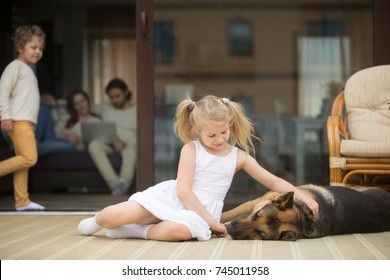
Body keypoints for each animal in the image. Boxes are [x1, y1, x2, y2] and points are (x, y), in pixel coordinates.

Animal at [221, 184, 390, 241]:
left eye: (259, 233)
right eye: (256, 215)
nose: (230, 229)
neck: (303, 217)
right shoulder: (256, 202)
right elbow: (229, 213)